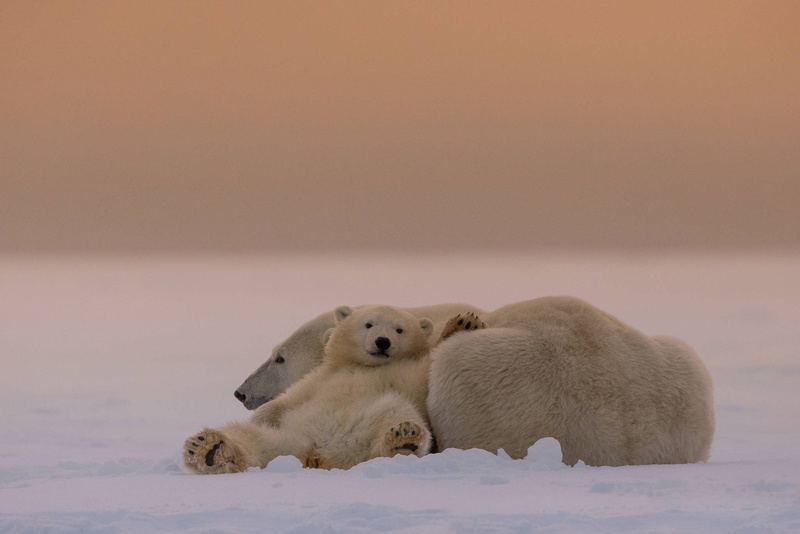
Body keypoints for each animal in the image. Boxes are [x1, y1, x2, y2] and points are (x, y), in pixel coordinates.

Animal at [184, 305, 439, 474]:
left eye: (399, 330)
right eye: (369, 324)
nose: (382, 341)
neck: (363, 366)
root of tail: (317, 454)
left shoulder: (406, 374)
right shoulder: (321, 377)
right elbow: (290, 399)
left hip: (373, 423)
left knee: (396, 412)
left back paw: (404, 438)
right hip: (289, 436)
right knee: (249, 436)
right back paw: (207, 448)